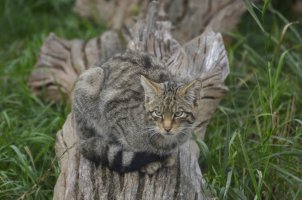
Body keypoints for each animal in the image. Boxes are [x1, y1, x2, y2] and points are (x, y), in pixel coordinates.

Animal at [72, 50, 202, 174]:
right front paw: (148, 163)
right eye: (158, 113)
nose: (167, 128)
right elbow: (124, 142)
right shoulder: (111, 110)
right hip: (90, 82)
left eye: (178, 114)